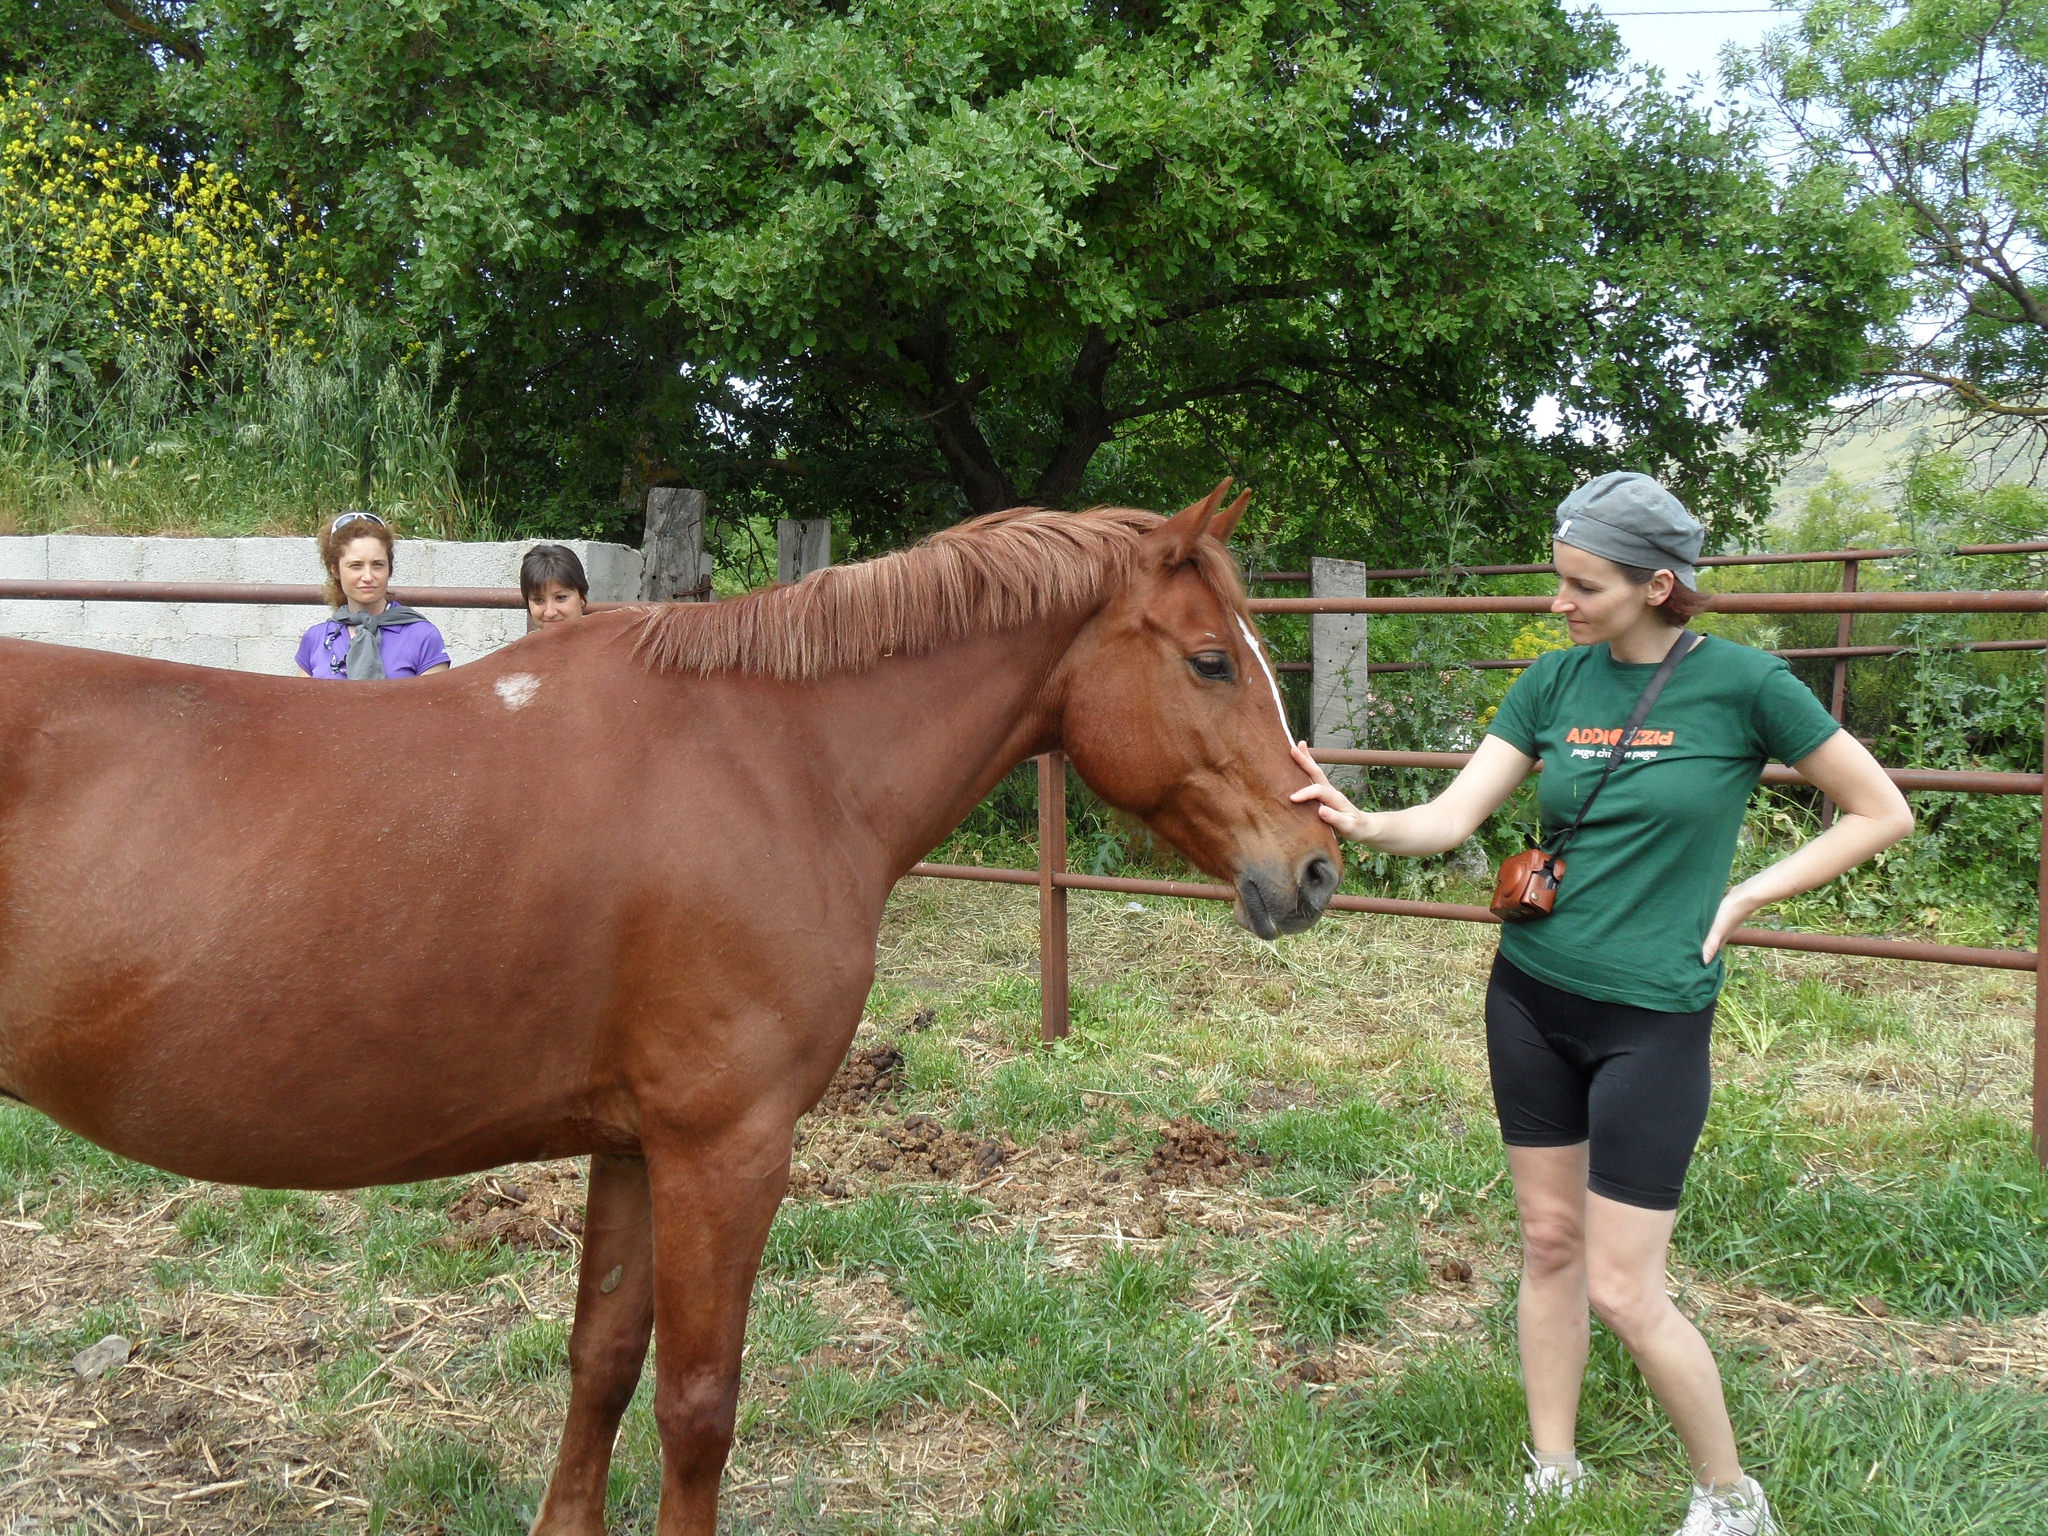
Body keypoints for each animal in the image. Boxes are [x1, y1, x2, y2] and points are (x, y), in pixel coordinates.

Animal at [0, 483, 1343, 1536]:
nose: (1316, 865)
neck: (773, 762)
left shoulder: (636, 1148)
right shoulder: (724, 1147)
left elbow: (599, 1362)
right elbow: (697, 1404)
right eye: (1210, 659)